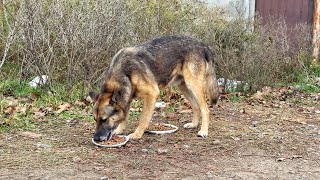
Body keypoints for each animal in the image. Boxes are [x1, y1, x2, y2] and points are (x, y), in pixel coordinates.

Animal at [90, 34, 220, 141]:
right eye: (95, 120)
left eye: (104, 119)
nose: (96, 139)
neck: (124, 72)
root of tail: (203, 45)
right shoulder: (127, 99)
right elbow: (125, 116)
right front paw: (120, 130)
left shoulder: (151, 94)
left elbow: (143, 119)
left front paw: (137, 134)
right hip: (184, 87)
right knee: (196, 107)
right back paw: (193, 124)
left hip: (194, 86)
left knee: (205, 109)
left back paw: (203, 131)